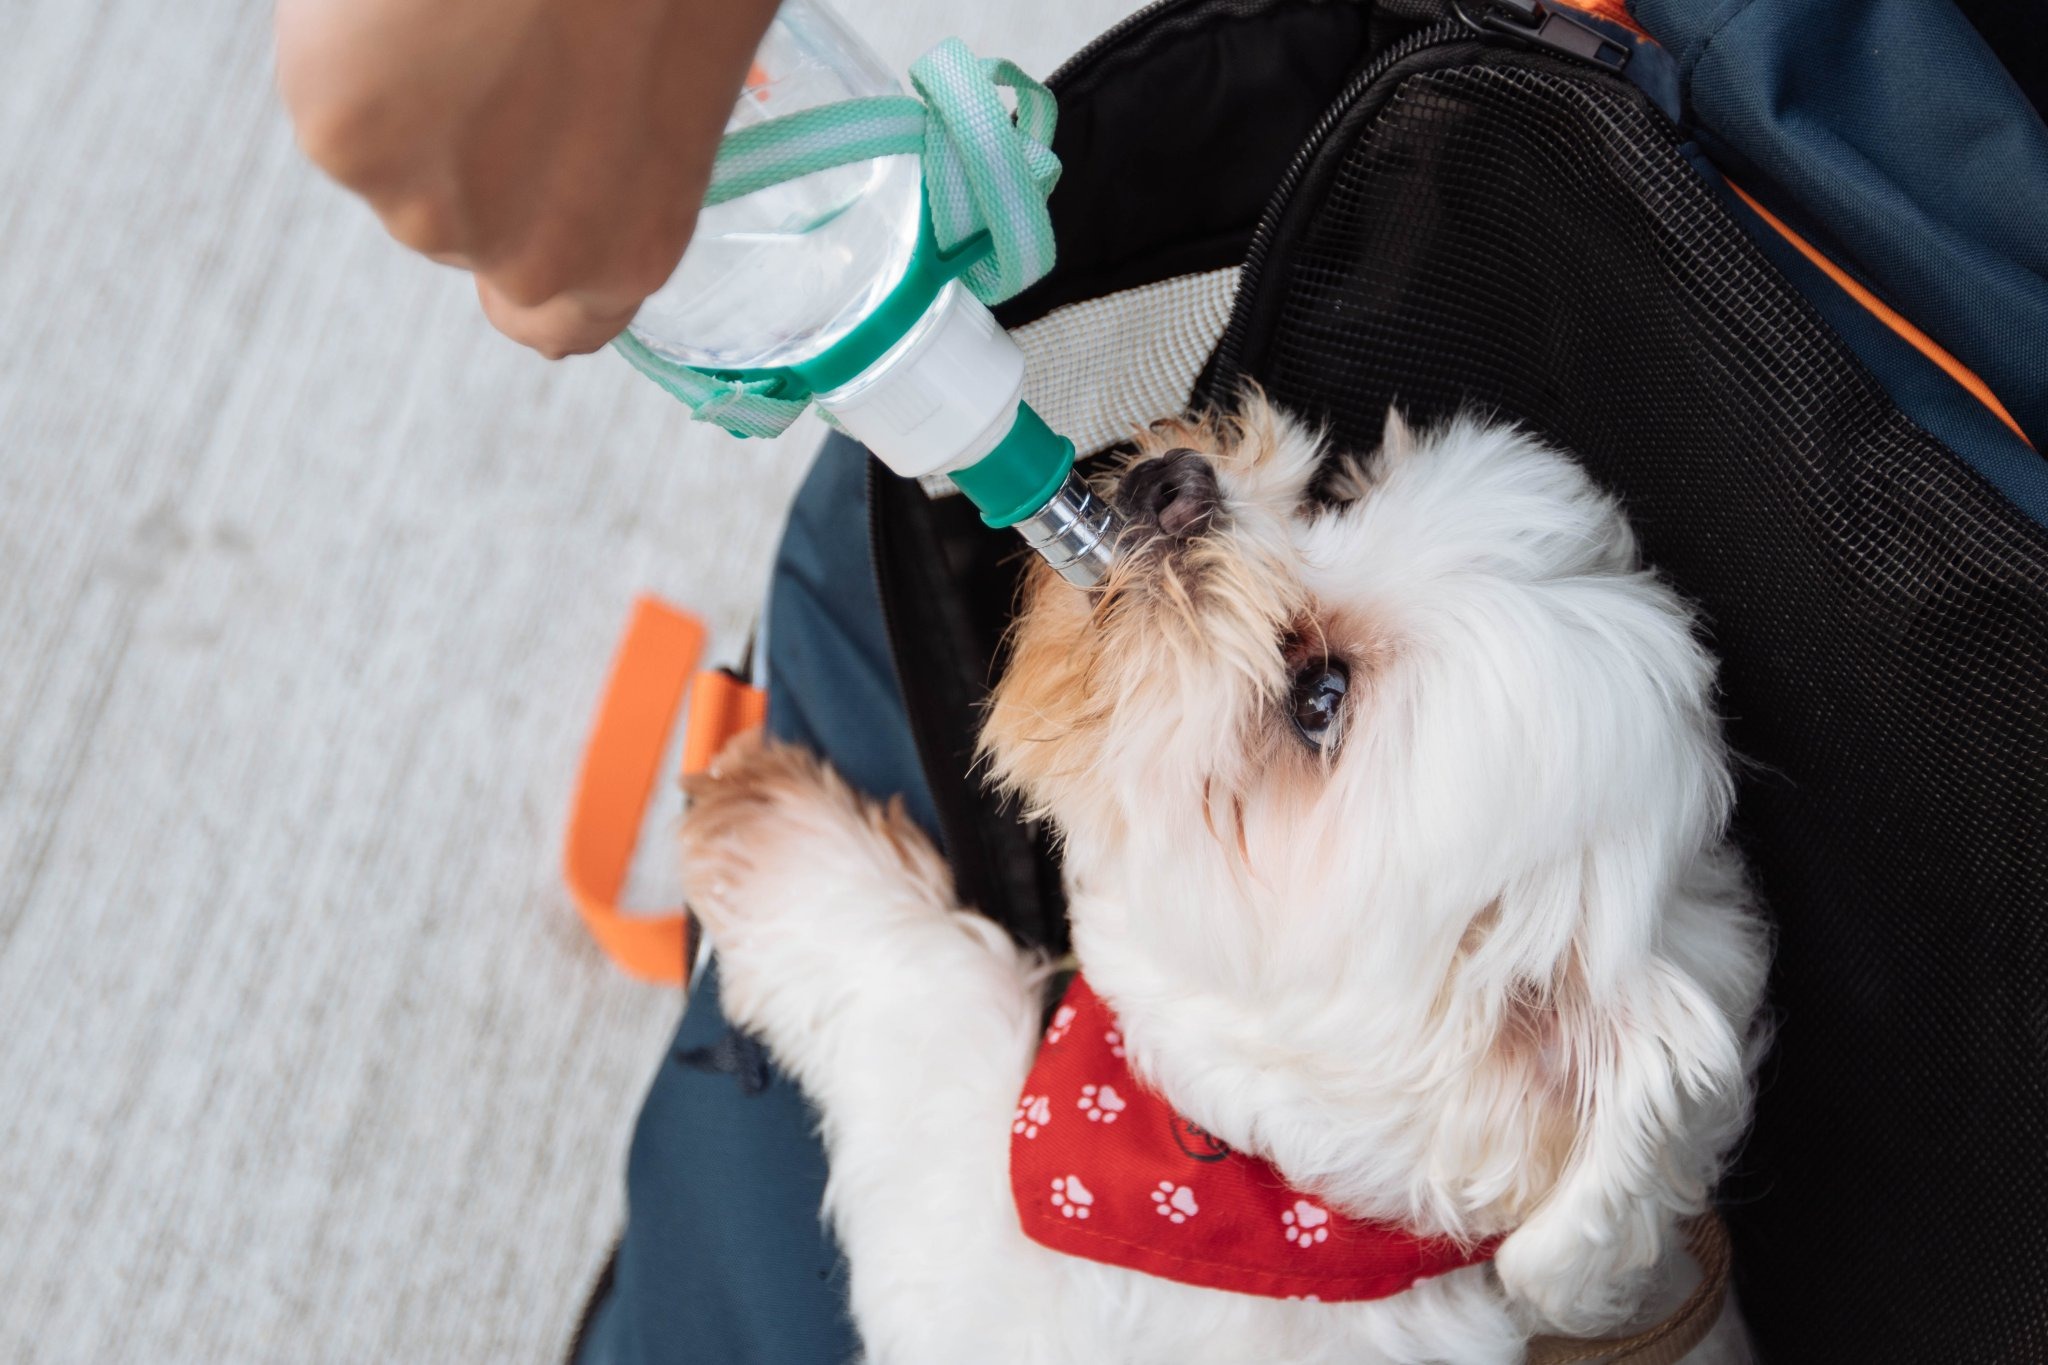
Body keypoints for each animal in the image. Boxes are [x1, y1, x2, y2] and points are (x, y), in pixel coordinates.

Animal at [679, 388, 1769, 1358]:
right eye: (1336, 494)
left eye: (1318, 697)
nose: (1177, 486)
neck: (1243, 1189)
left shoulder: (986, 1282)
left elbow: (932, 1016)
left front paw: (778, 834)